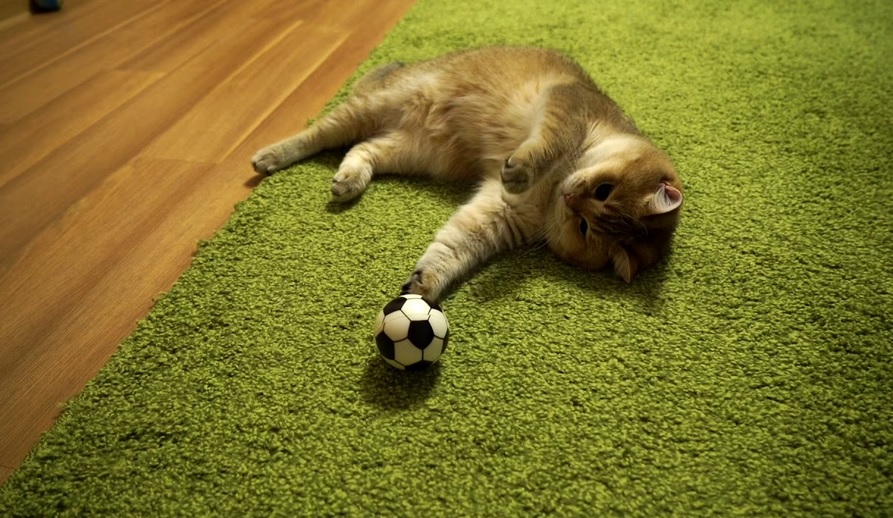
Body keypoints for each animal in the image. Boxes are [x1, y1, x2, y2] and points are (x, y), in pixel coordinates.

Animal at [251, 47, 684, 304]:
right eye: (604, 189)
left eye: (584, 228)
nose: (570, 199)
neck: (550, 192)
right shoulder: (566, 107)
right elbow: (545, 145)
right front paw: (520, 169)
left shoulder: (499, 213)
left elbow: (455, 247)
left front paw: (425, 284)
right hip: (373, 107)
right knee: (317, 134)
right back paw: (270, 156)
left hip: (415, 151)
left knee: (361, 149)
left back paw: (349, 179)